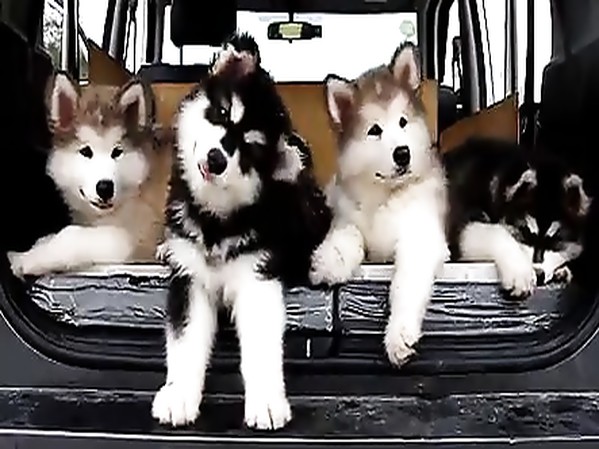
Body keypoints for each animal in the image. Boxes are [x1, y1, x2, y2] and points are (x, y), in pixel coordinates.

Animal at [7, 73, 169, 277]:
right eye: (86, 151)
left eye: (117, 152)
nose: (105, 188)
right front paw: (40, 244)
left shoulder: (139, 233)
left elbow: (73, 234)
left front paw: (27, 258)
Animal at [151, 33, 331, 430]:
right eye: (221, 113)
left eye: (251, 149)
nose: (217, 159)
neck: (215, 220)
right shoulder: (190, 279)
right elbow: (185, 342)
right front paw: (179, 395)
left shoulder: (257, 276)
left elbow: (262, 345)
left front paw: (266, 402)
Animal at [309, 42, 449, 367]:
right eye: (374, 130)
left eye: (403, 122)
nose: (402, 153)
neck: (386, 196)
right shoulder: (348, 214)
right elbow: (348, 233)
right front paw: (331, 258)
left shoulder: (420, 236)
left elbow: (406, 283)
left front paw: (399, 334)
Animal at [444, 137, 591, 296]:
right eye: (526, 234)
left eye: (555, 242)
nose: (538, 274)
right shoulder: (465, 219)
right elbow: (496, 232)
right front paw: (519, 270)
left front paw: (562, 269)